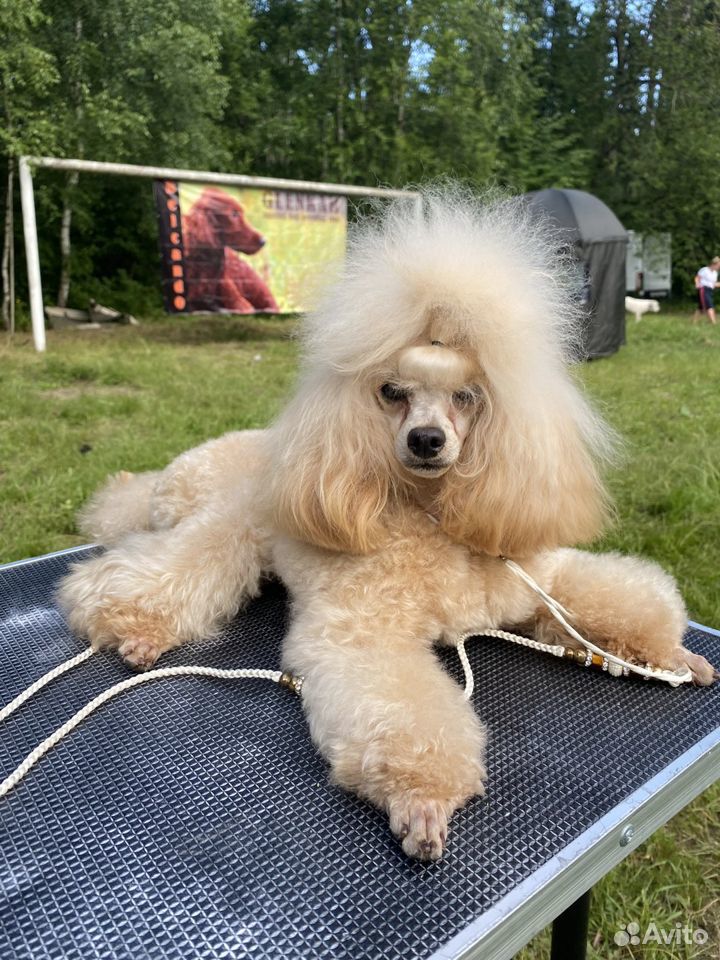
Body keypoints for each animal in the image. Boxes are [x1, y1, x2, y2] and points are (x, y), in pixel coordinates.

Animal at [56, 189, 716, 864]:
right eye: (392, 392)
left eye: (468, 396)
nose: (426, 440)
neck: (430, 516)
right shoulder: (363, 632)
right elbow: (406, 716)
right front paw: (422, 799)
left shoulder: (540, 577)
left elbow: (614, 599)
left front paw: (673, 654)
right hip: (228, 526)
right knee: (155, 572)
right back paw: (133, 625)